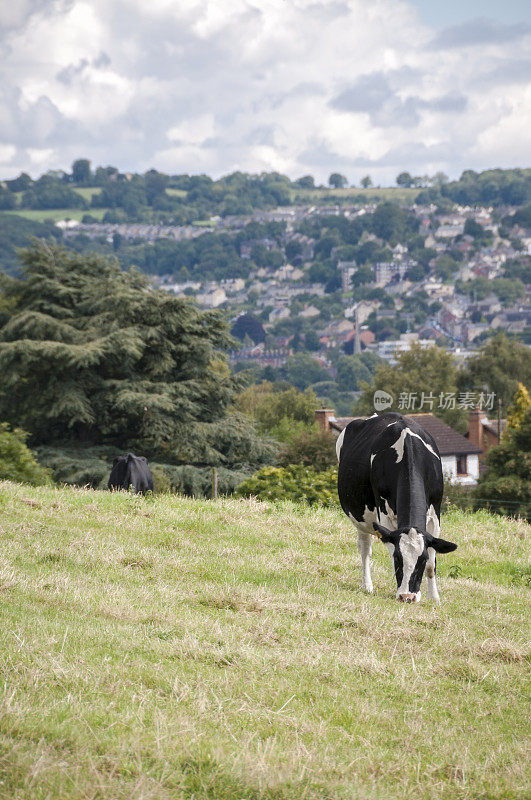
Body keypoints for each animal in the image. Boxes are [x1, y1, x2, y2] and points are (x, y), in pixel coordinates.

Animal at [336, 412, 458, 600]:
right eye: (397, 559)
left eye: (421, 560)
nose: (407, 597)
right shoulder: (384, 517)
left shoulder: (435, 515)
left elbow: (432, 563)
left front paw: (434, 598)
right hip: (360, 517)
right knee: (365, 549)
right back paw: (367, 585)